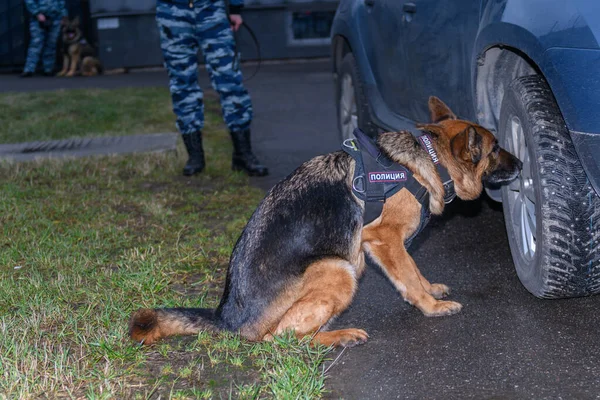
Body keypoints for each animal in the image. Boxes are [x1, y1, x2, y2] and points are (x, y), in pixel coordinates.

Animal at [129, 97, 524, 346]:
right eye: (495, 148)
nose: (521, 164)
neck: (428, 161)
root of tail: (228, 319)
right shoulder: (384, 239)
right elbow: (408, 277)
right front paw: (431, 306)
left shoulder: (390, 245)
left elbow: (413, 270)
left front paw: (431, 289)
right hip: (338, 268)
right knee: (282, 338)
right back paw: (339, 336)